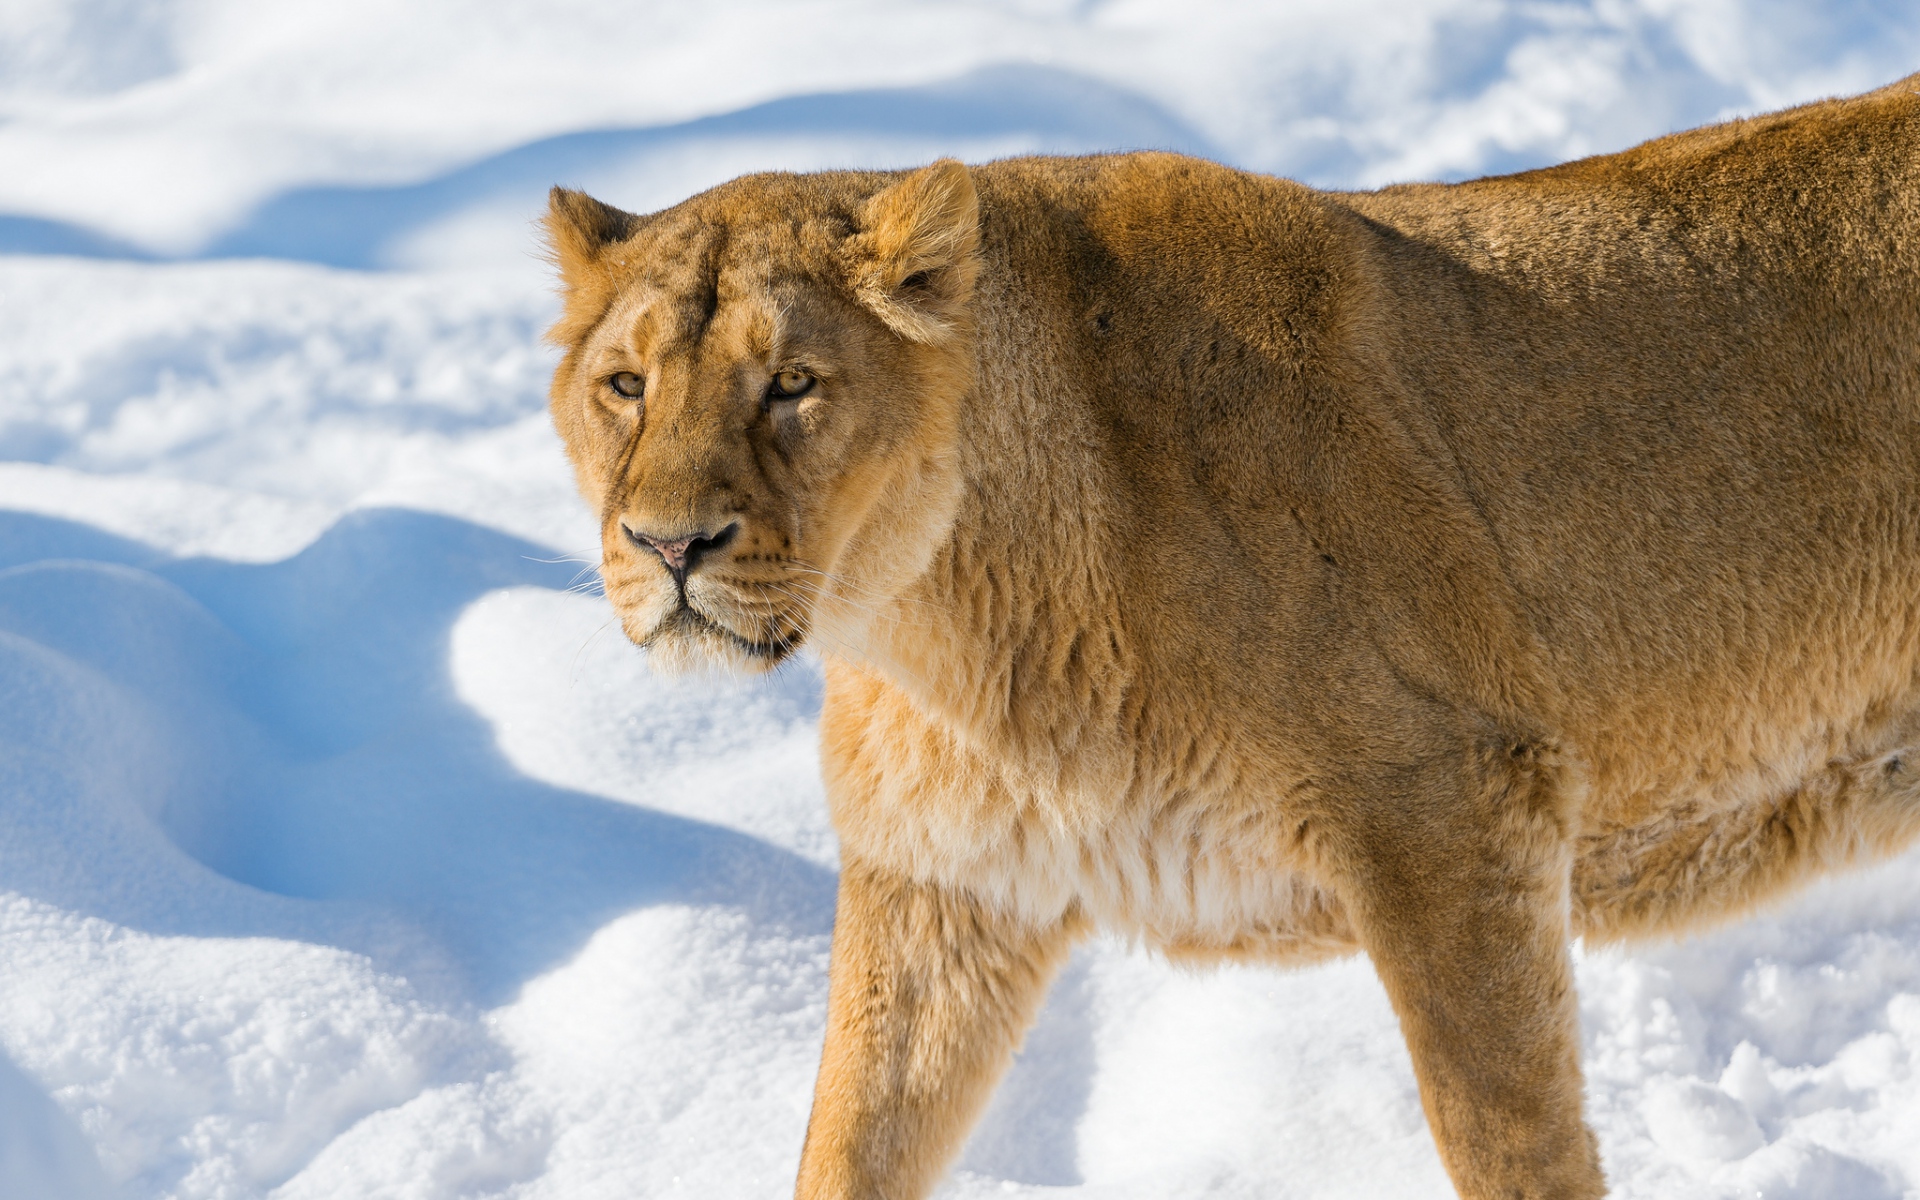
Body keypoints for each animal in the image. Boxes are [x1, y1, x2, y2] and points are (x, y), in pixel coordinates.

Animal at [540, 74, 1920, 1199]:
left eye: (792, 384)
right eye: (626, 386)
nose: (669, 546)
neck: (933, 626)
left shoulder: (1456, 803)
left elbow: (1507, 1138)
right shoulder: (946, 884)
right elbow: (847, 1144)